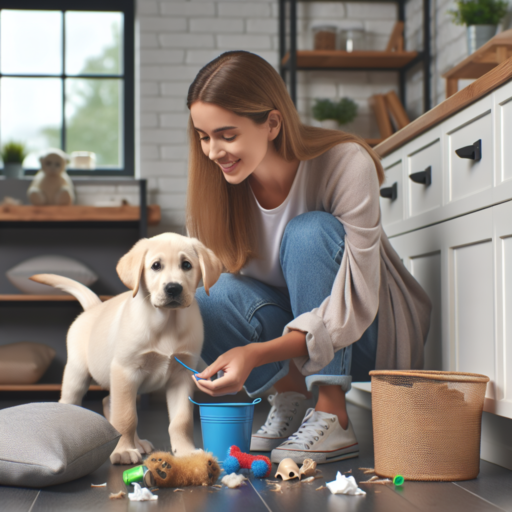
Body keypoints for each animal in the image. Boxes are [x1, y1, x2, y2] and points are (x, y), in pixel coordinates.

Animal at [30, 234, 222, 466]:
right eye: (156, 266)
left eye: (186, 265)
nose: (173, 288)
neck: (167, 323)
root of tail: (94, 308)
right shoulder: (125, 370)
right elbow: (126, 417)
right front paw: (122, 451)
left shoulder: (182, 376)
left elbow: (181, 420)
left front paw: (185, 452)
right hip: (78, 374)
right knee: (75, 403)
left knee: (110, 402)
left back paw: (138, 443)